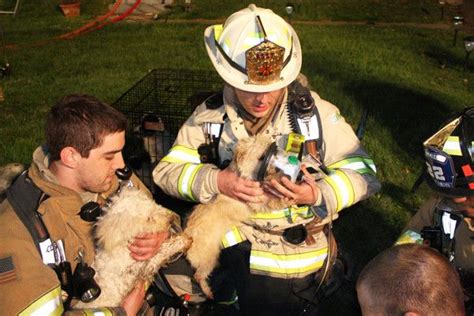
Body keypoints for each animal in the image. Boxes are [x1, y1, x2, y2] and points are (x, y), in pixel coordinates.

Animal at [184, 135, 292, 298]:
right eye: (262, 157)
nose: (279, 169)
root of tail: (187, 238)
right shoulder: (256, 201)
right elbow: (270, 200)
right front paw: (285, 198)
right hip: (208, 258)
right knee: (198, 275)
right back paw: (208, 292)